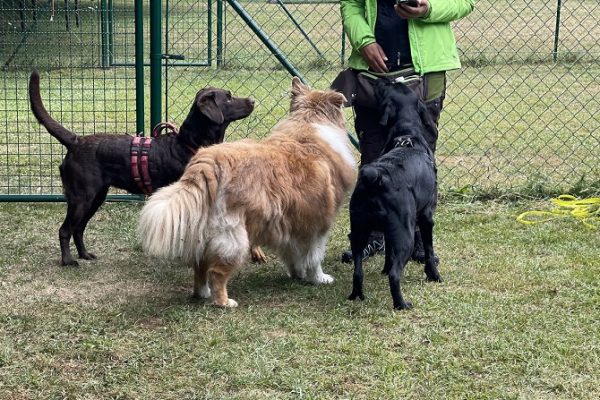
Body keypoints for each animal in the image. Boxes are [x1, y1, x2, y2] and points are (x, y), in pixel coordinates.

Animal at [29, 71, 254, 266]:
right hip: (81, 199)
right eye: (228, 98)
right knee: (65, 230)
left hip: (95, 198)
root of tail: (75, 141)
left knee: (78, 229)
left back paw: (85, 254)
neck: (187, 144)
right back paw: (68, 261)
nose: (252, 100)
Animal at [137, 79, 356, 310]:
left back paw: (202, 293)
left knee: (200, 266)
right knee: (217, 272)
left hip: (205, 234)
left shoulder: (291, 223)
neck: (307, 125)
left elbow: (294, 254)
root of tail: (207, 164)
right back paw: (224, 302)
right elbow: (314, 257)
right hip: (234, 236)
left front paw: (297, 274)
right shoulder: (318, 224)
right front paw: (319, 278)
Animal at [346, 78, 440, 310]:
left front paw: (384, 268)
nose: (382, 79)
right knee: (395, 275)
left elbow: (388, 253)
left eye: (388, 88)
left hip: (358, 231)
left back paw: (356, 295)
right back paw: (401, 304)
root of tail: (376, 178)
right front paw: (434, 275)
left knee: (357, 271)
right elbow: (429, 250)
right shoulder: (426, 216)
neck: (406, 136)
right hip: (405, 234)